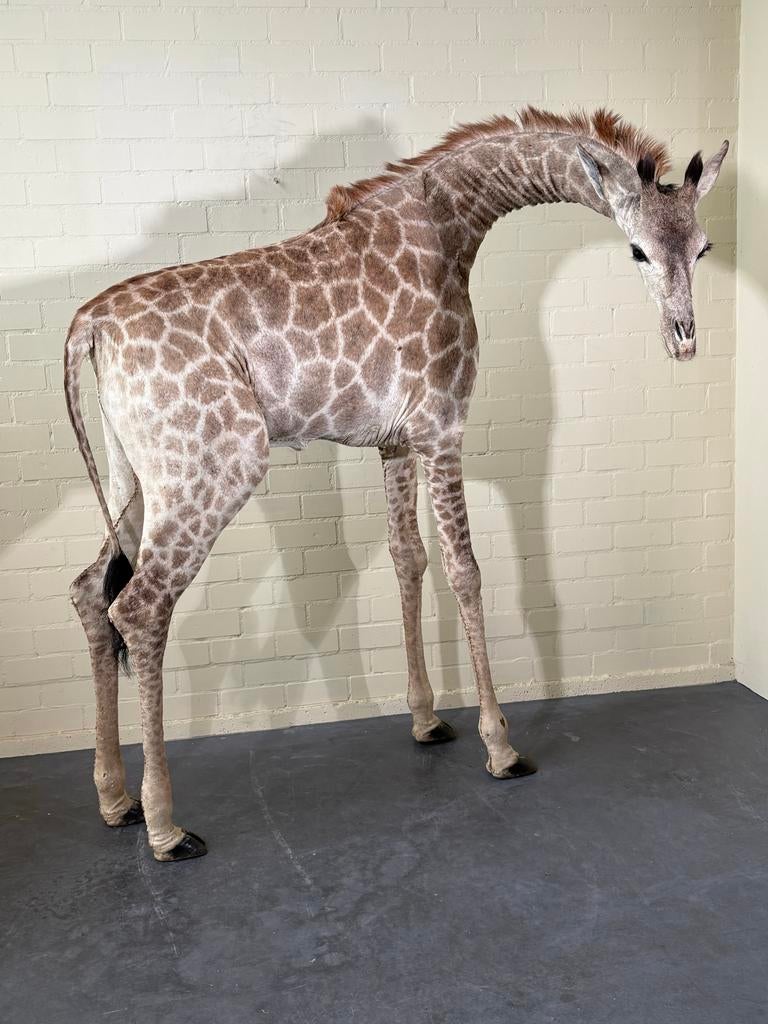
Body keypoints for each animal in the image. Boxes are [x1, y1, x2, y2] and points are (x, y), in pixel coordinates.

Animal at [65, 108, 728, 862]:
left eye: (703, 248)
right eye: (637, 252)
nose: (684, 341)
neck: (453, 225)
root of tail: (88, 326)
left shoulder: (394, 439)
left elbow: (407, 557)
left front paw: (427, 720)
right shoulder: (443, 426)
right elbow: (466, 570)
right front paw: (501, 747)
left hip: (137, 474)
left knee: (90, 589)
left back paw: (114, 800)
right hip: (215, 465)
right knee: (141, 606)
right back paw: (164, 826)